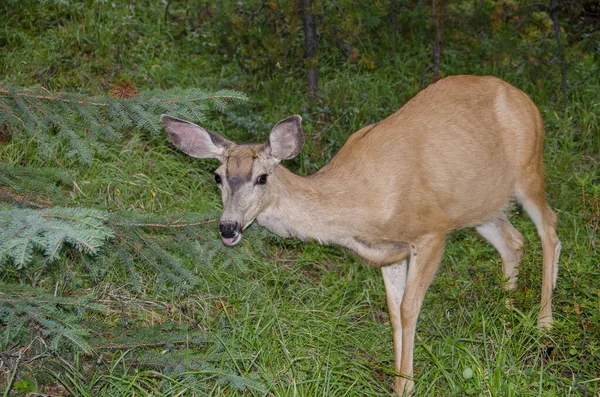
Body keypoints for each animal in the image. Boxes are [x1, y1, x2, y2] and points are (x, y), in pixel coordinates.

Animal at [161, 75, 564, 396]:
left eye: (261, 178)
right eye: (217, 176)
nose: (228, 228)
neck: (358, 206)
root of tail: (523, 97)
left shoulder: (431, 231)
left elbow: (409, 308)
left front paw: (405, 386)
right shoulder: (390, 251)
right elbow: (393, 311)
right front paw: (403, 382)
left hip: (530, 168)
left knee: (550, 229)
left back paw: (544, 324)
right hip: (480, 206)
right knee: (513, 241)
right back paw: (506, 316)